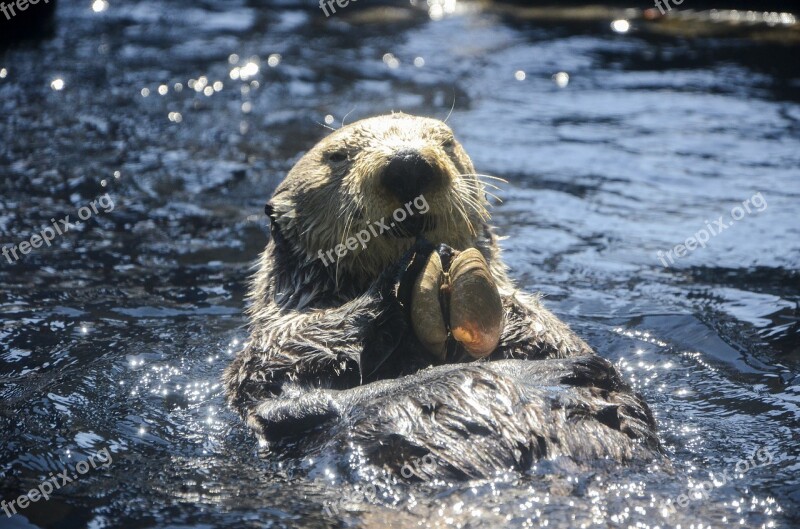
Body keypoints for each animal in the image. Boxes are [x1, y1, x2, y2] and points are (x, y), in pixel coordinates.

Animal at [222, 113, 660, 476]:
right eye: (337, 155)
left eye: (446, 141)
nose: (408, 163)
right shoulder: (272, 343)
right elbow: (276, 361)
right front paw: (395, 279)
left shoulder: (552, 336)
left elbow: (555, 340)